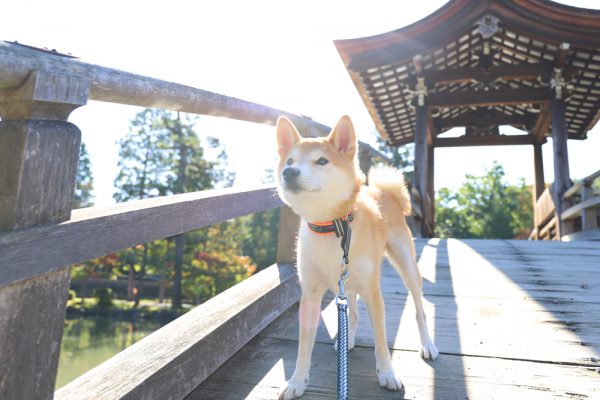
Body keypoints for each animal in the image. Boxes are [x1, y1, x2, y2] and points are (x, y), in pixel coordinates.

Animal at [274, 114, 438, 398]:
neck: (332, 226)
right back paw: (346, 340)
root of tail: (385, 193)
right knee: (352, 312)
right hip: (348, 280)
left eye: (322, 161)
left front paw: (387, 373)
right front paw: (297, 382)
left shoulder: (373, 291)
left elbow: (381, 341)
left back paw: (427, 344)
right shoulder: (310, 293)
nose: (289, 172)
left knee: (419, 310)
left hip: (407, 268)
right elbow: (304, 347)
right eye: (290, 161)